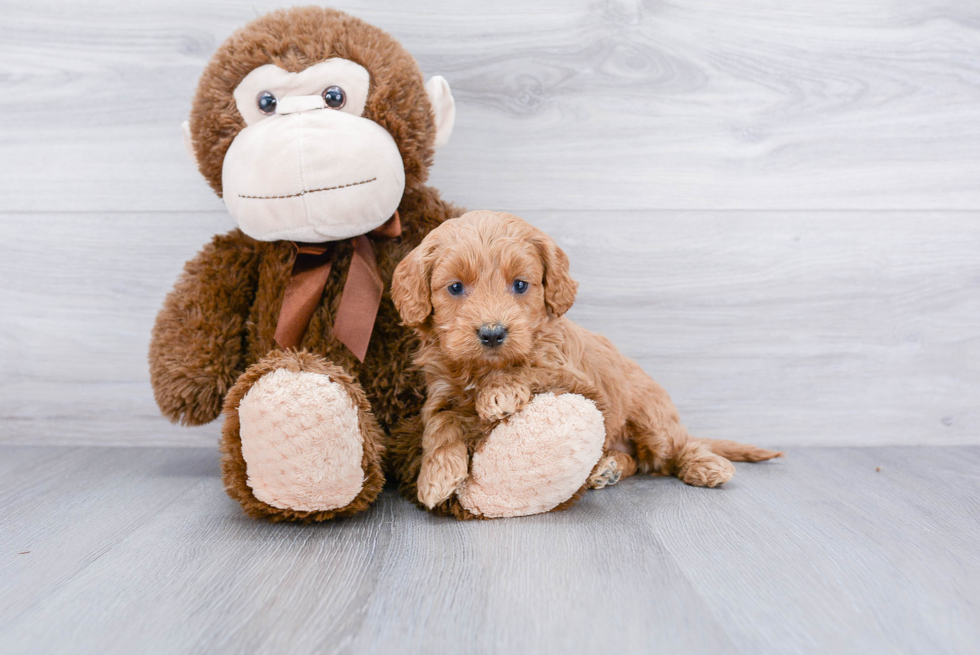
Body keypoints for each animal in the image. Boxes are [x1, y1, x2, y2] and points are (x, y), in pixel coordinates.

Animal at [390, 211, 780, 512]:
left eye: (520, 285)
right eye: (455, 288)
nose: (492, 334)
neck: (482, 367)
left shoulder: (575, 379)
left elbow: (530, 368)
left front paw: (498, 392)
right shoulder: (441, 392)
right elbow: (438, 424)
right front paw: (435, 475)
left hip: (651, 416)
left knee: (676, 447)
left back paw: (705, 464)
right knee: (637, 460)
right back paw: (607, 467)